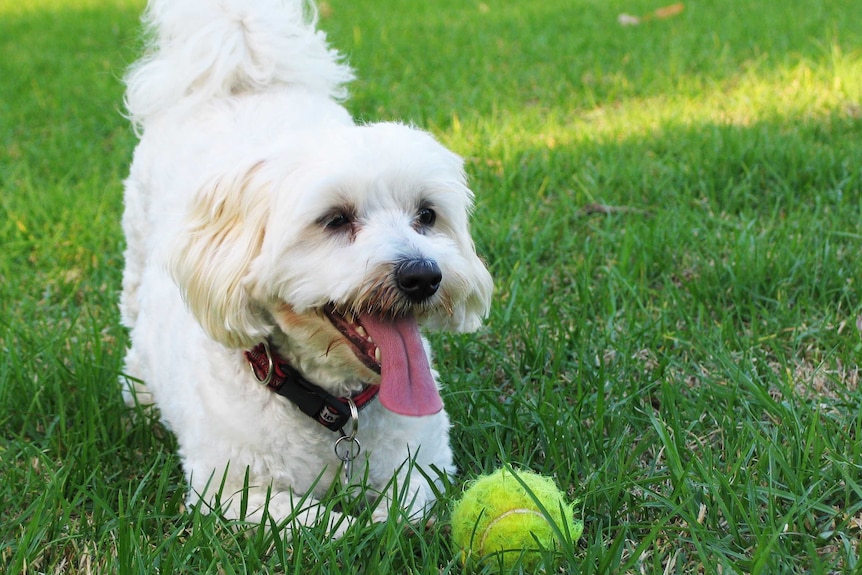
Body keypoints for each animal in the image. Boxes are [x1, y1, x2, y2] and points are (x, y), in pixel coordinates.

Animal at [120, 0, 492, 536]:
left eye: (426, 215)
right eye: (335, 219)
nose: (422, 276)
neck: (335, 406)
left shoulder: (425, 463)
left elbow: (406, 506)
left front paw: (389, 522)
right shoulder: (234, 494)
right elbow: (321, 524)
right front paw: (361, 530)